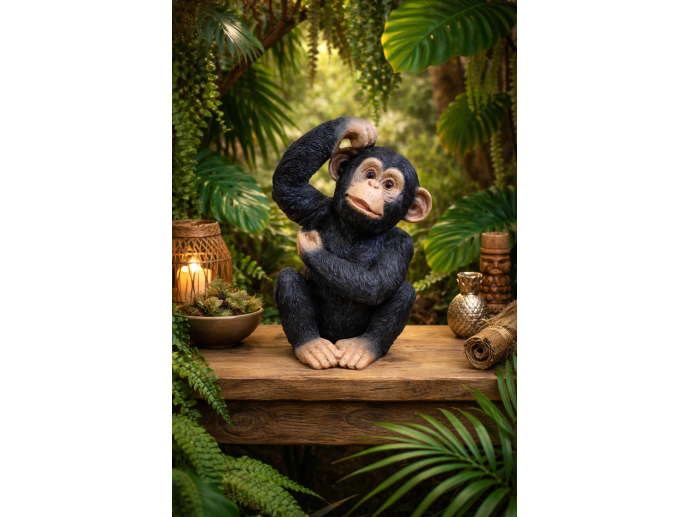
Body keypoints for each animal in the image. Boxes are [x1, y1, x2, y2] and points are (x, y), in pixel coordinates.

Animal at [272, 117, 432, 370]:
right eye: (369, 174)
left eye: (389, 185)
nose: (373, 186)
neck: (356, 230)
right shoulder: (318, 209)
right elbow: (287, 185)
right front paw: (358, 128)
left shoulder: (403, 244)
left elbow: (377, 284)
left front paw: (312, 247)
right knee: (287, 277)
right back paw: (311, 345)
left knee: (404, 290)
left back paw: (363, 347)